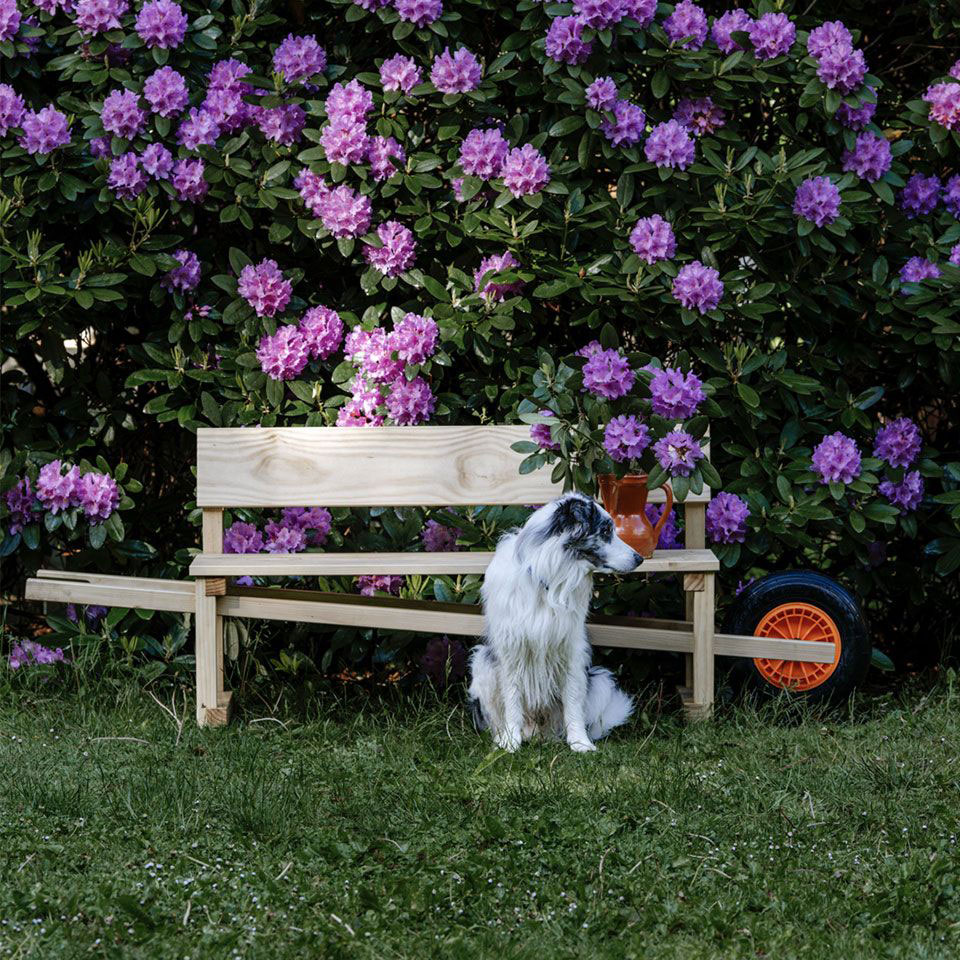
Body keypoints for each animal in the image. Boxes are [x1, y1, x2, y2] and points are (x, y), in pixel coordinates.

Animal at [468, 496, 640, 752]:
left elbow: (573, 702)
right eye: (605, 530)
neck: (549, 578)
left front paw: (580, 743)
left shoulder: (572, 650)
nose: (640, 558)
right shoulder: (510, 650)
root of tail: (538, 732)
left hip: (600, 681)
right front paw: (510, 743)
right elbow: (512, 700)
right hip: (482, 664)